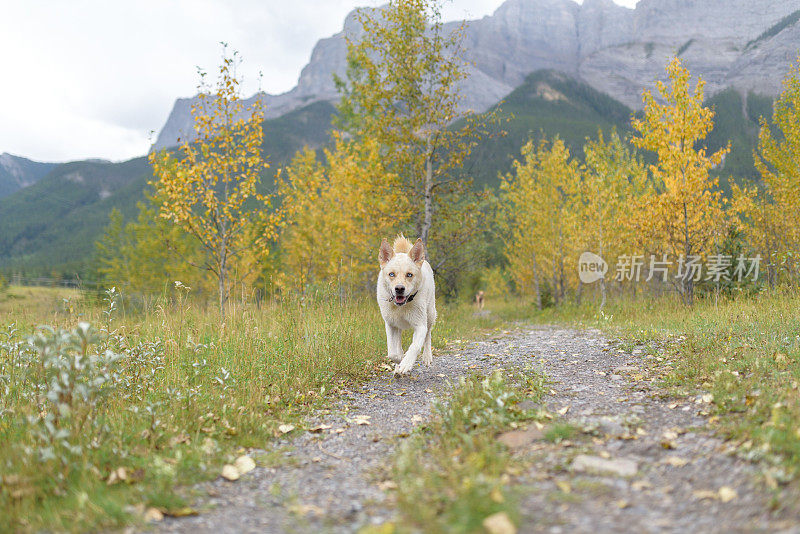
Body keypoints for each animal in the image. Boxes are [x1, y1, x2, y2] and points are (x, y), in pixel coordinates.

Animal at [376, 234, 438, 376]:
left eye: (409, 275)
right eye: (391, 274)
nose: (399, 288)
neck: (401, 307)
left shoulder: (420, 326)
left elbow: (415, 346)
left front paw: (406, 364)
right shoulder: (390, 325)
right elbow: (393, 353)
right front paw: (399, 362)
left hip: (430, 313)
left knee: (428, 335)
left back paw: (427, 356)